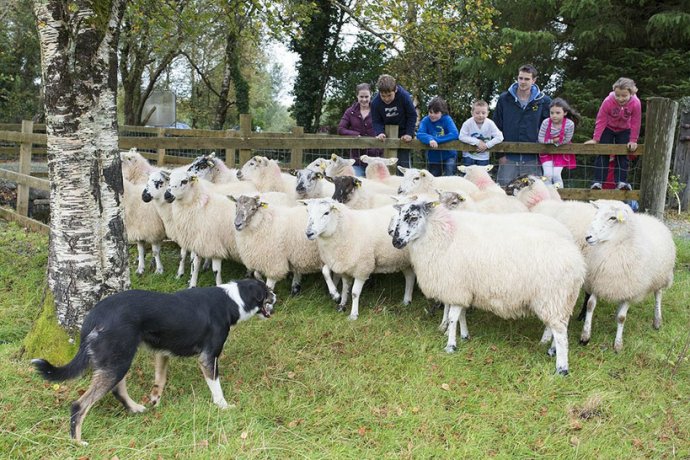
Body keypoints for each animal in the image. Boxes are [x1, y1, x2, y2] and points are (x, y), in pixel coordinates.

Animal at [30, 278, 274, 444]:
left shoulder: (162, 352)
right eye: (267, 292)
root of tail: (94, 317)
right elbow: (216, 387)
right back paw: (78, 441)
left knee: (118, 389)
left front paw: (155, 398)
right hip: (118, 361)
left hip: (120, 358)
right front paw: (223, 406)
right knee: (80, 405)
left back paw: (136, 408)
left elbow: (160, 379)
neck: (232, 299)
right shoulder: (208, 357)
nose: (277, 297)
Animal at [390, 199, 584, 374]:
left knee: (561, 333)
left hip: (554, 296)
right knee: (555, 326)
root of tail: (578, 261)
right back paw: (549, 347)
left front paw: (450, 345)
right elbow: (461, 315)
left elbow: (453, 317)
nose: (395, 242)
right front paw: (464, 335)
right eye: (399, 216)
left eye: (413, 217)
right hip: (555, 300)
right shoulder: (464, 289)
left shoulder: (455, 287)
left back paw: (561, 368)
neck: (443, 238)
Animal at [576, 200, 676, 352]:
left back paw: (657, 320)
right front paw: (585, 336)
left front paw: (618, 344)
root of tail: (652, 218)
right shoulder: (598, 283)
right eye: (596, 214)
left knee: (658, 295)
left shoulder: (631, 290)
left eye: (613, 218)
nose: (588, 237)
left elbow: (622, 318)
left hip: (661, 276)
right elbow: (590, 305)